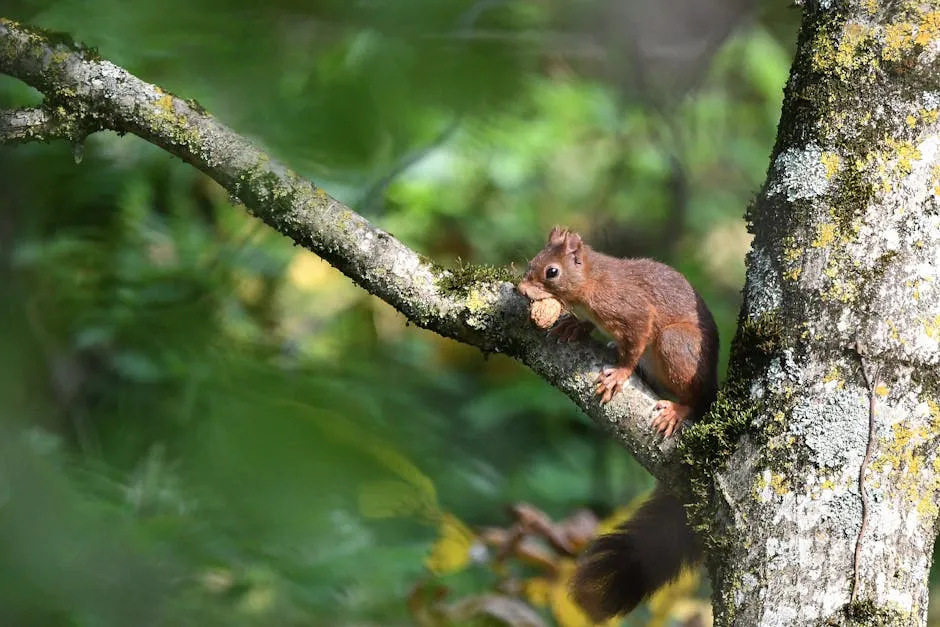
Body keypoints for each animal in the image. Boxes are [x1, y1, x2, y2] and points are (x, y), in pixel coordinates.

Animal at [517, 226, 719, 622]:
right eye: (533, 260)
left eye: (551, 272)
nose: (520, 288)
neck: (592, 280)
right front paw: (572, 326)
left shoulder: (633, 310)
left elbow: (635, 341)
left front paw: (620, 374)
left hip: (676, 346)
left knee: (690, 394)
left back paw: (678, 409)